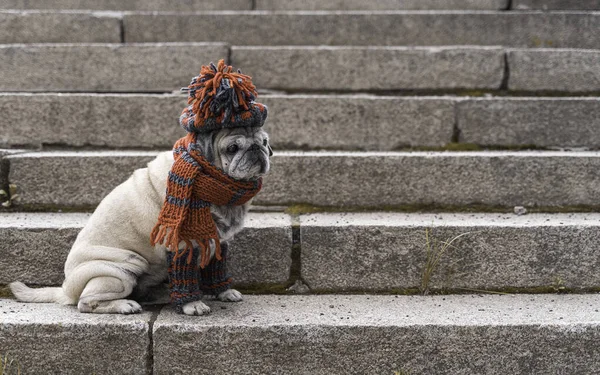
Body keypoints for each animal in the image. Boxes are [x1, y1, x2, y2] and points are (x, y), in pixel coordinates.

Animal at [9, 127, 270, 318]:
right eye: (232, 148)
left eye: (265, 142)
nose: (257, 148)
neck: (211, 181)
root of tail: (65, 290)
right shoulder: (182, 244)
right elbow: (186, 277)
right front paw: (192, 304)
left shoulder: (218, 241)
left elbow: (217, 269)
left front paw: (223, 292)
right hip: (122, 270)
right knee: (86, 303)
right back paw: (124, 305)